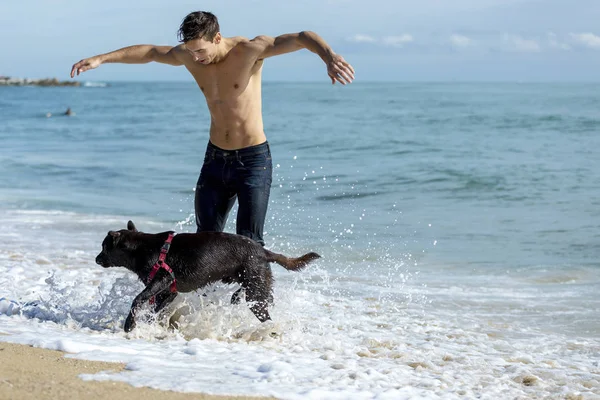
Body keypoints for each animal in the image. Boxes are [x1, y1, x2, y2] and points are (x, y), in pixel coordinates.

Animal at [96, 222, 322, 332]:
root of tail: (264, 252)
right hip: (251, 281)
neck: (141, 248)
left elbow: (138, 299)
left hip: (255, 289)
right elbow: (156, 308)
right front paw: (148, 323)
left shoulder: (162, 279)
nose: (97, 259)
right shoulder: (168, 292)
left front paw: (130, 324)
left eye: (104, 247)